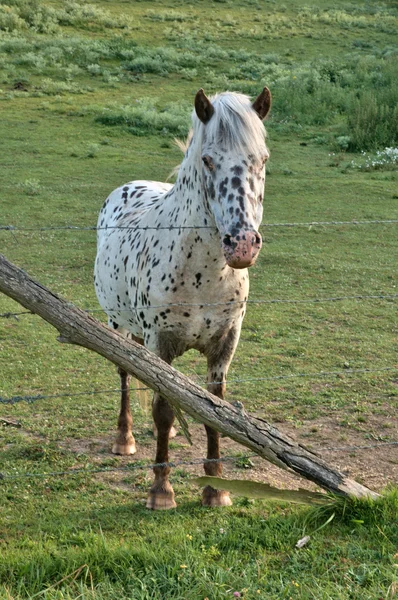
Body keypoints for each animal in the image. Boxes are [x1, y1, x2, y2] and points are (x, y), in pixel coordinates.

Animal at [95, 88, 272, 510]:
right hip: (118, 327)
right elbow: (162, 410)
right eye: (208, 159)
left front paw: (216, 489)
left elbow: (214, 411)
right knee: (125, 375)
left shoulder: (224, 346)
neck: (203, 274)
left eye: (262, 159)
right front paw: (161, 490)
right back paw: (124, 439)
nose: (243, 244)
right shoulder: (160, 344)